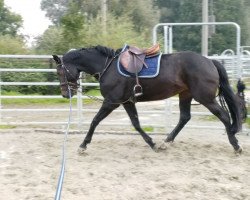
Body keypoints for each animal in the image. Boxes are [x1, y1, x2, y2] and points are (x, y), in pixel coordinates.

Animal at [52, 45, 242, 153]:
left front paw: (83, 145)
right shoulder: (127, 102)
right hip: (186, 95)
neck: (107, 66)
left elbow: (95, 121)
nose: (65, 94)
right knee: (184, 117)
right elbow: (136, 124)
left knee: (224, 116)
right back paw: (166, 142)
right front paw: (152, 144)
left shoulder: (111, 102)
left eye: (60, 72)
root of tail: (210, 61)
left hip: (205, 98)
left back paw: (236, 145)